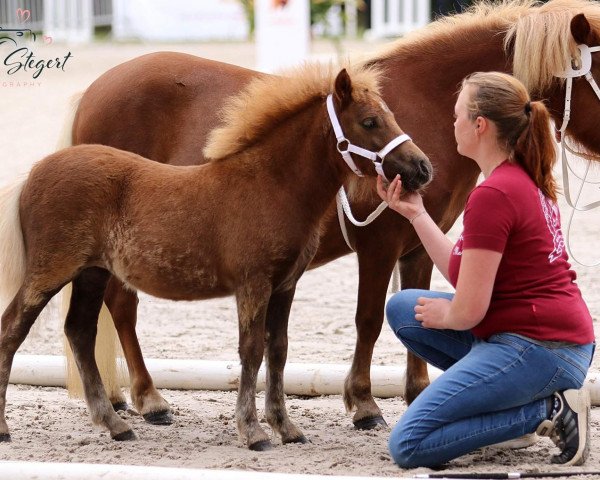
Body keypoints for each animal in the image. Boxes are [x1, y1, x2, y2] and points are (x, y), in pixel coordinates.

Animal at [0, 65, 432, 448]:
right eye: (370, 121)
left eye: (392, 116)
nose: (423, 168)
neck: (271, 184)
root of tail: (33, 174)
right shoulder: (253, 284)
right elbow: (251, 350)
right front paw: (254, 432)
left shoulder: (285, 285)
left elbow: (278, 349)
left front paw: (286, 428)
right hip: (49, 272)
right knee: (12, 330)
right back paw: (7, 429)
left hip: (91, 273)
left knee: (80, 331)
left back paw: (116, 425)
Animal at [68, 0, 600, 428]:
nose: (419, 169)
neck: (425, 107)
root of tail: (94, 91)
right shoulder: (379, 245)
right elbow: (369, 319)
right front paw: (363, 404)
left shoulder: (417, 246)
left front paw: (417, 394)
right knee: (122, 306)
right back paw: (148, 398)